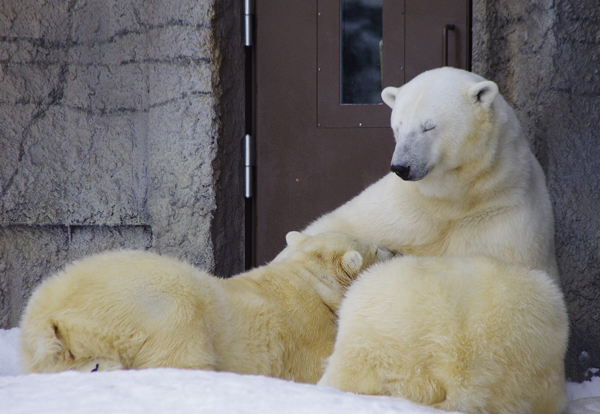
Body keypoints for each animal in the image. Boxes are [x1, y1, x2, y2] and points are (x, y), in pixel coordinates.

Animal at [18, 231, 392, 384]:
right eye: (376, 248)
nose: (395, 249)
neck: (310, 279)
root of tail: (49, 311)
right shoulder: (307, 331)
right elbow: (319, 364)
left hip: (40, 342)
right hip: (154, 302)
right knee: (181, 344)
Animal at [278, 68, 560, 282]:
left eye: (428, 126)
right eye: (398, 127)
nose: (401, 167)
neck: (454, 198)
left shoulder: (502, 216)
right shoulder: (402, 210)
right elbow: (334, 226)